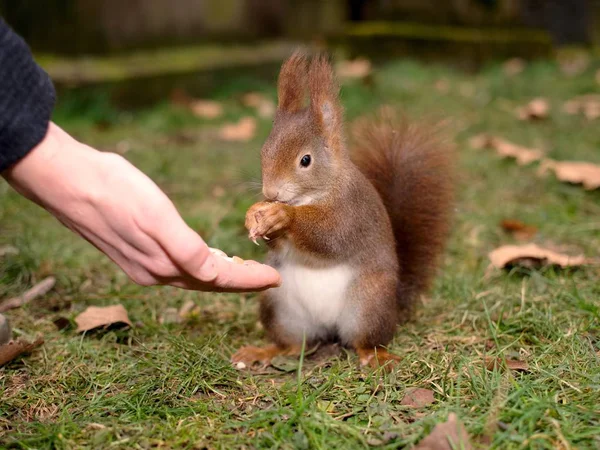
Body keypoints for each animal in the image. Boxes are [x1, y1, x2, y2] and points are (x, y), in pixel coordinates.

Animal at [232, 51, 452, 370]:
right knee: (292, 346)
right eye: (264, 152)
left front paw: (283, 217)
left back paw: (375, 356)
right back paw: (262, 352)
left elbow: (329, 237)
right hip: (281, 307)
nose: (271, 193)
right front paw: (255, 216)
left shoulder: (351, 212)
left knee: (364, 341)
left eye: (306, 160)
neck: (309, 198)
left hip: (367, 304)